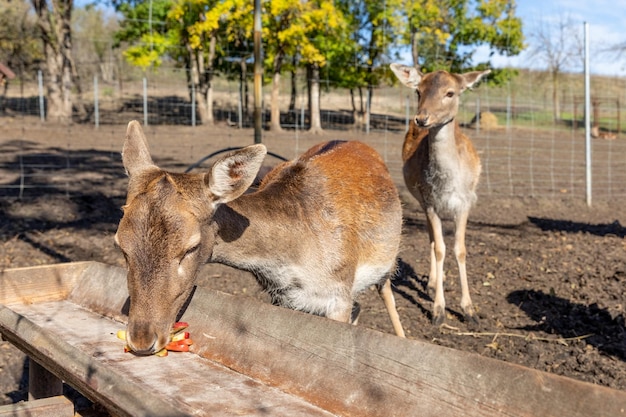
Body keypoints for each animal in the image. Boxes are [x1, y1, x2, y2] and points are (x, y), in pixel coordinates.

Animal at [112, 120, 404, 354]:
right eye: (120, 245)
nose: (141, 341)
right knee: (360, 306)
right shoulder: (284, 298)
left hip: (387, 263)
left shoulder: (338, 294)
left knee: (386, 293)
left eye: (190, 247)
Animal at [388, 64, 490, 324]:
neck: (447, 184)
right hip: (422, 202)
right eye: (418, 91)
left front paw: (469, 310)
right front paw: (438, 310)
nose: (422, 118)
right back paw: (434, 282)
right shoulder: (430, 203)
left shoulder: (465, 203)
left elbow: (460, 250)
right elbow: (440, 248)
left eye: (450, 93)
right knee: (433, 240)